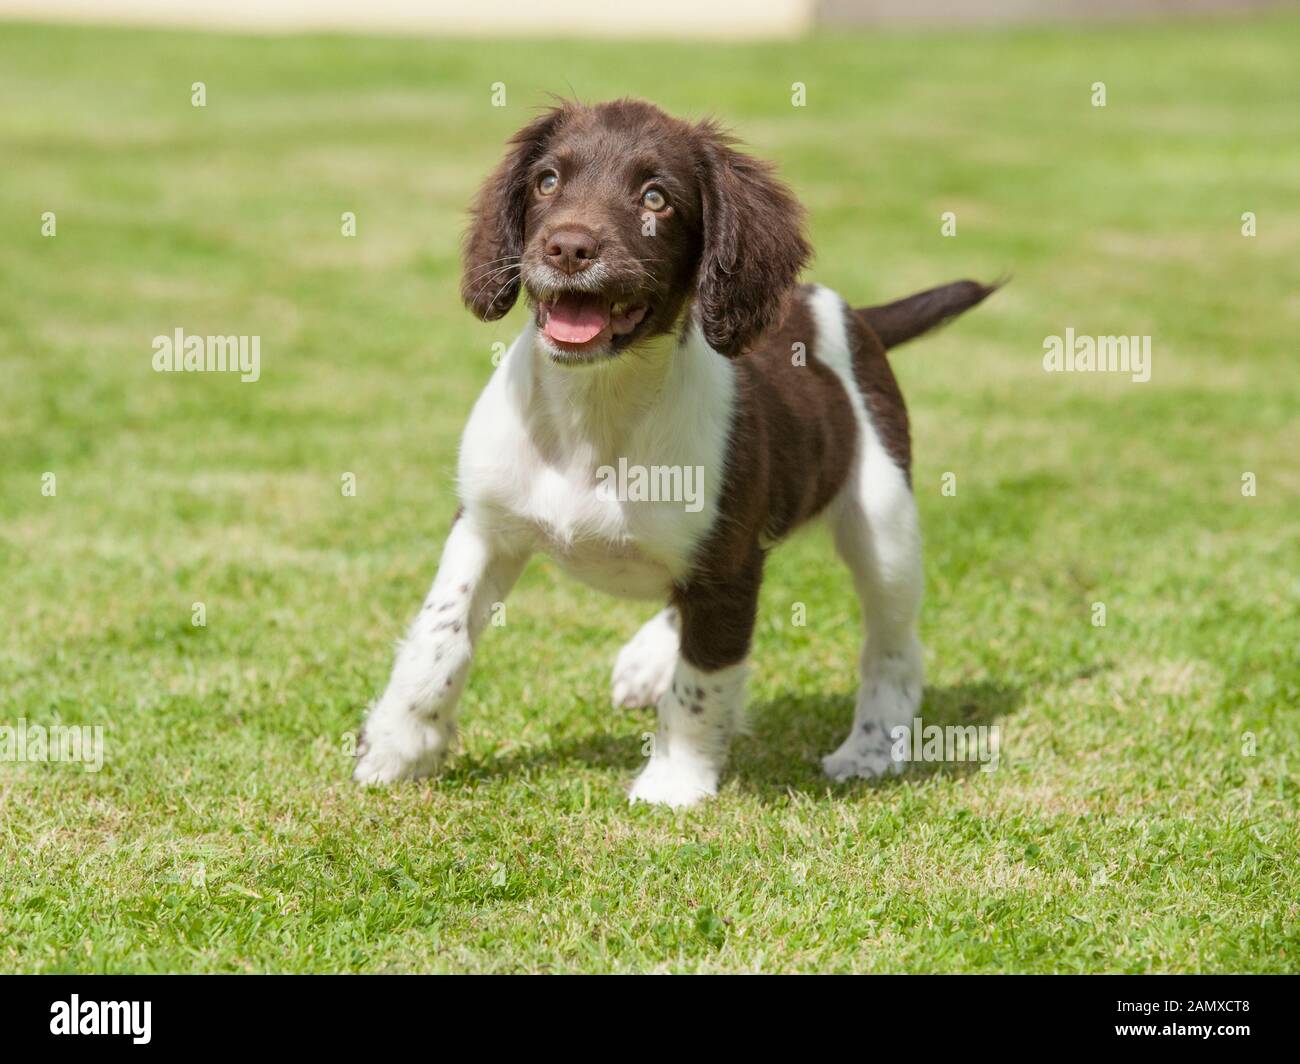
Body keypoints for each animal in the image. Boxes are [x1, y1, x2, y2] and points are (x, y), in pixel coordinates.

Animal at [351, 99, 987, 806]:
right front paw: (399, 747)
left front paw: (674, 782)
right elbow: (439, 636)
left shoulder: (730, 570)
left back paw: (871, 748)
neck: (595, 408)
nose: (567, 248)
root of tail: (851, 314)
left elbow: (703, 679)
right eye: (547, 181)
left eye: (656, 198)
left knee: (893, 648)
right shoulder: (485, 525)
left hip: (883, 521)